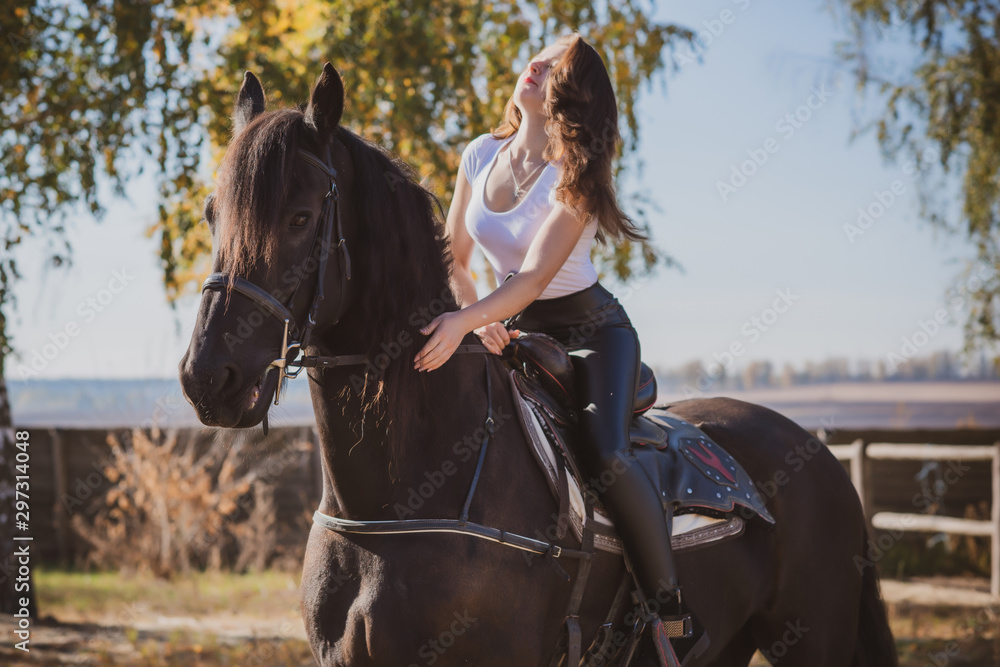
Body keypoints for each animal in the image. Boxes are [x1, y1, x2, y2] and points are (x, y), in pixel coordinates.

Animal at [179, 63, 899, 666]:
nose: (207, 378)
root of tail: (817, 451)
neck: (396, 501)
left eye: (301, 217)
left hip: (811, 640)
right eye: (213, 214)